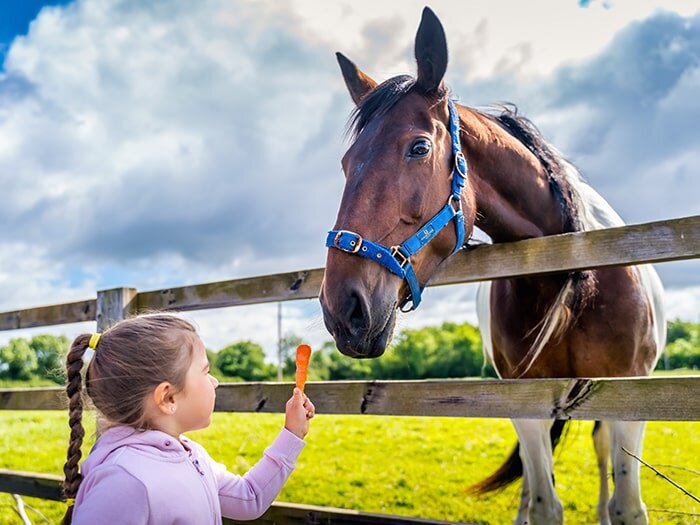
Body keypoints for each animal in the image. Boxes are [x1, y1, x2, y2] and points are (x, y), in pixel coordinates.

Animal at [318, 7, 665, 525]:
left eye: (419, 148)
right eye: (346, 163)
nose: (343, 310)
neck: (571, 277)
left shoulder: (631, 396)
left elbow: (627, 507)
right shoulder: (526, 400)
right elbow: (544, 504)